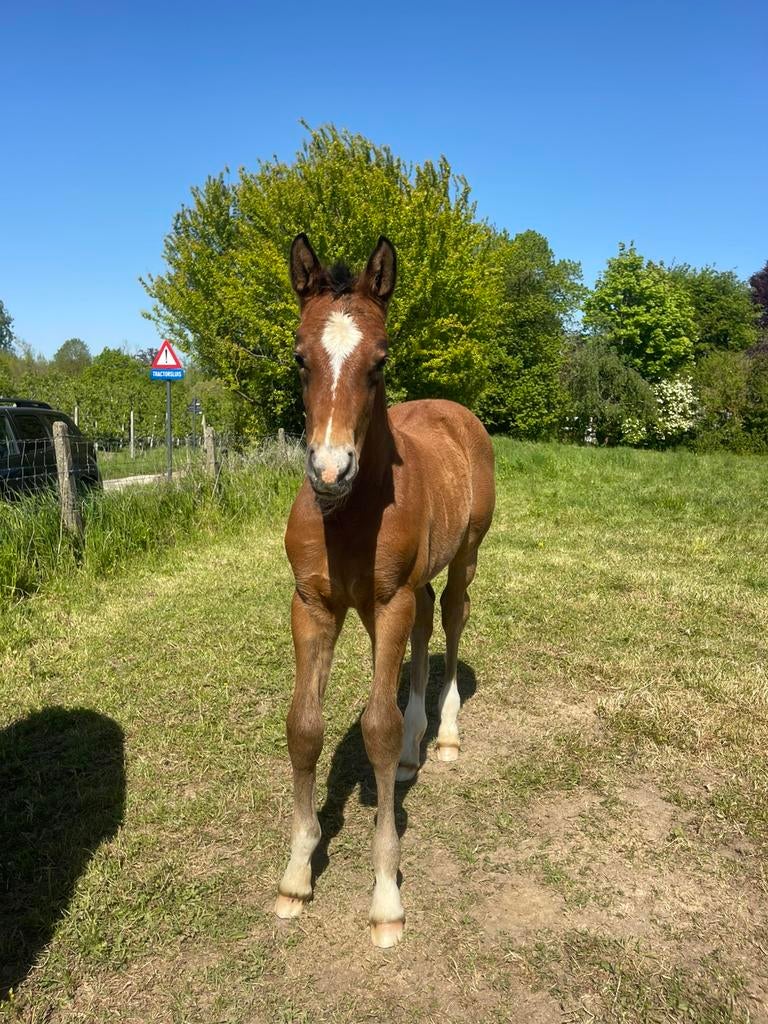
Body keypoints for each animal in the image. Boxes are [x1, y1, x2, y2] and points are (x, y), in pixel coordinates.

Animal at [274, 234, 495, 947]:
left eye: (380, 359)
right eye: (299, 355)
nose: (329, 470)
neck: (349, 513)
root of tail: (454, 410)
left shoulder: (386, 600)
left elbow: (375, 726)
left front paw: (385, 896)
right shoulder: (314, 604)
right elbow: (304, 726)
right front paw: (296, 873)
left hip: (465, 556)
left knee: (450, 620)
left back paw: (444, 735)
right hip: (405, 591)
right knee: (425, 630)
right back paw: (411, 752)